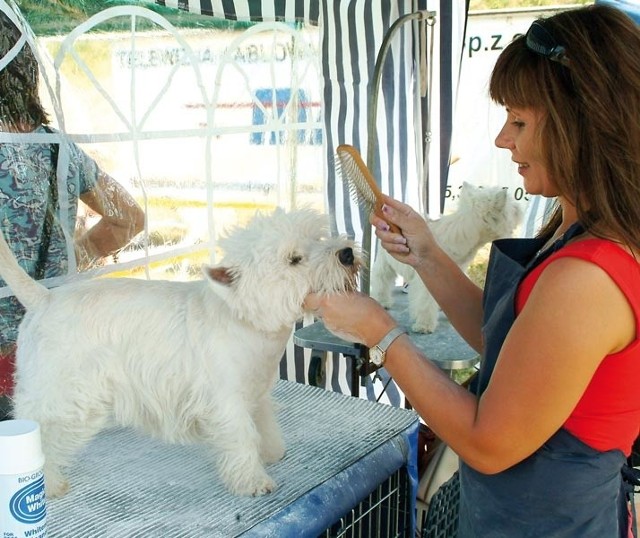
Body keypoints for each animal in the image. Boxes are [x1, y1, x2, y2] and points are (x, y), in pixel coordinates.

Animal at [1, 205, 360, 494]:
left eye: (318, 237)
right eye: (294, 259)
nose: (346, 253)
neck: (246, 319)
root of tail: (44, 297)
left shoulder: (255, 391)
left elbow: (264, 423)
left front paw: (272, 452)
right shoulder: (225, 401)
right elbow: (241, 437)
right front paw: (253, 482)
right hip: (65, 394)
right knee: (41, 432)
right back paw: (49, 485)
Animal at [372, 181, 524, 330]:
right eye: (513, 208)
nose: (520, 209)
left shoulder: (456, 272)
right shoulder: (430, 276)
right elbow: (425, 300)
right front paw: (424, 325)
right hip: (384, 261)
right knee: (381, 278)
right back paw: (382, 301)